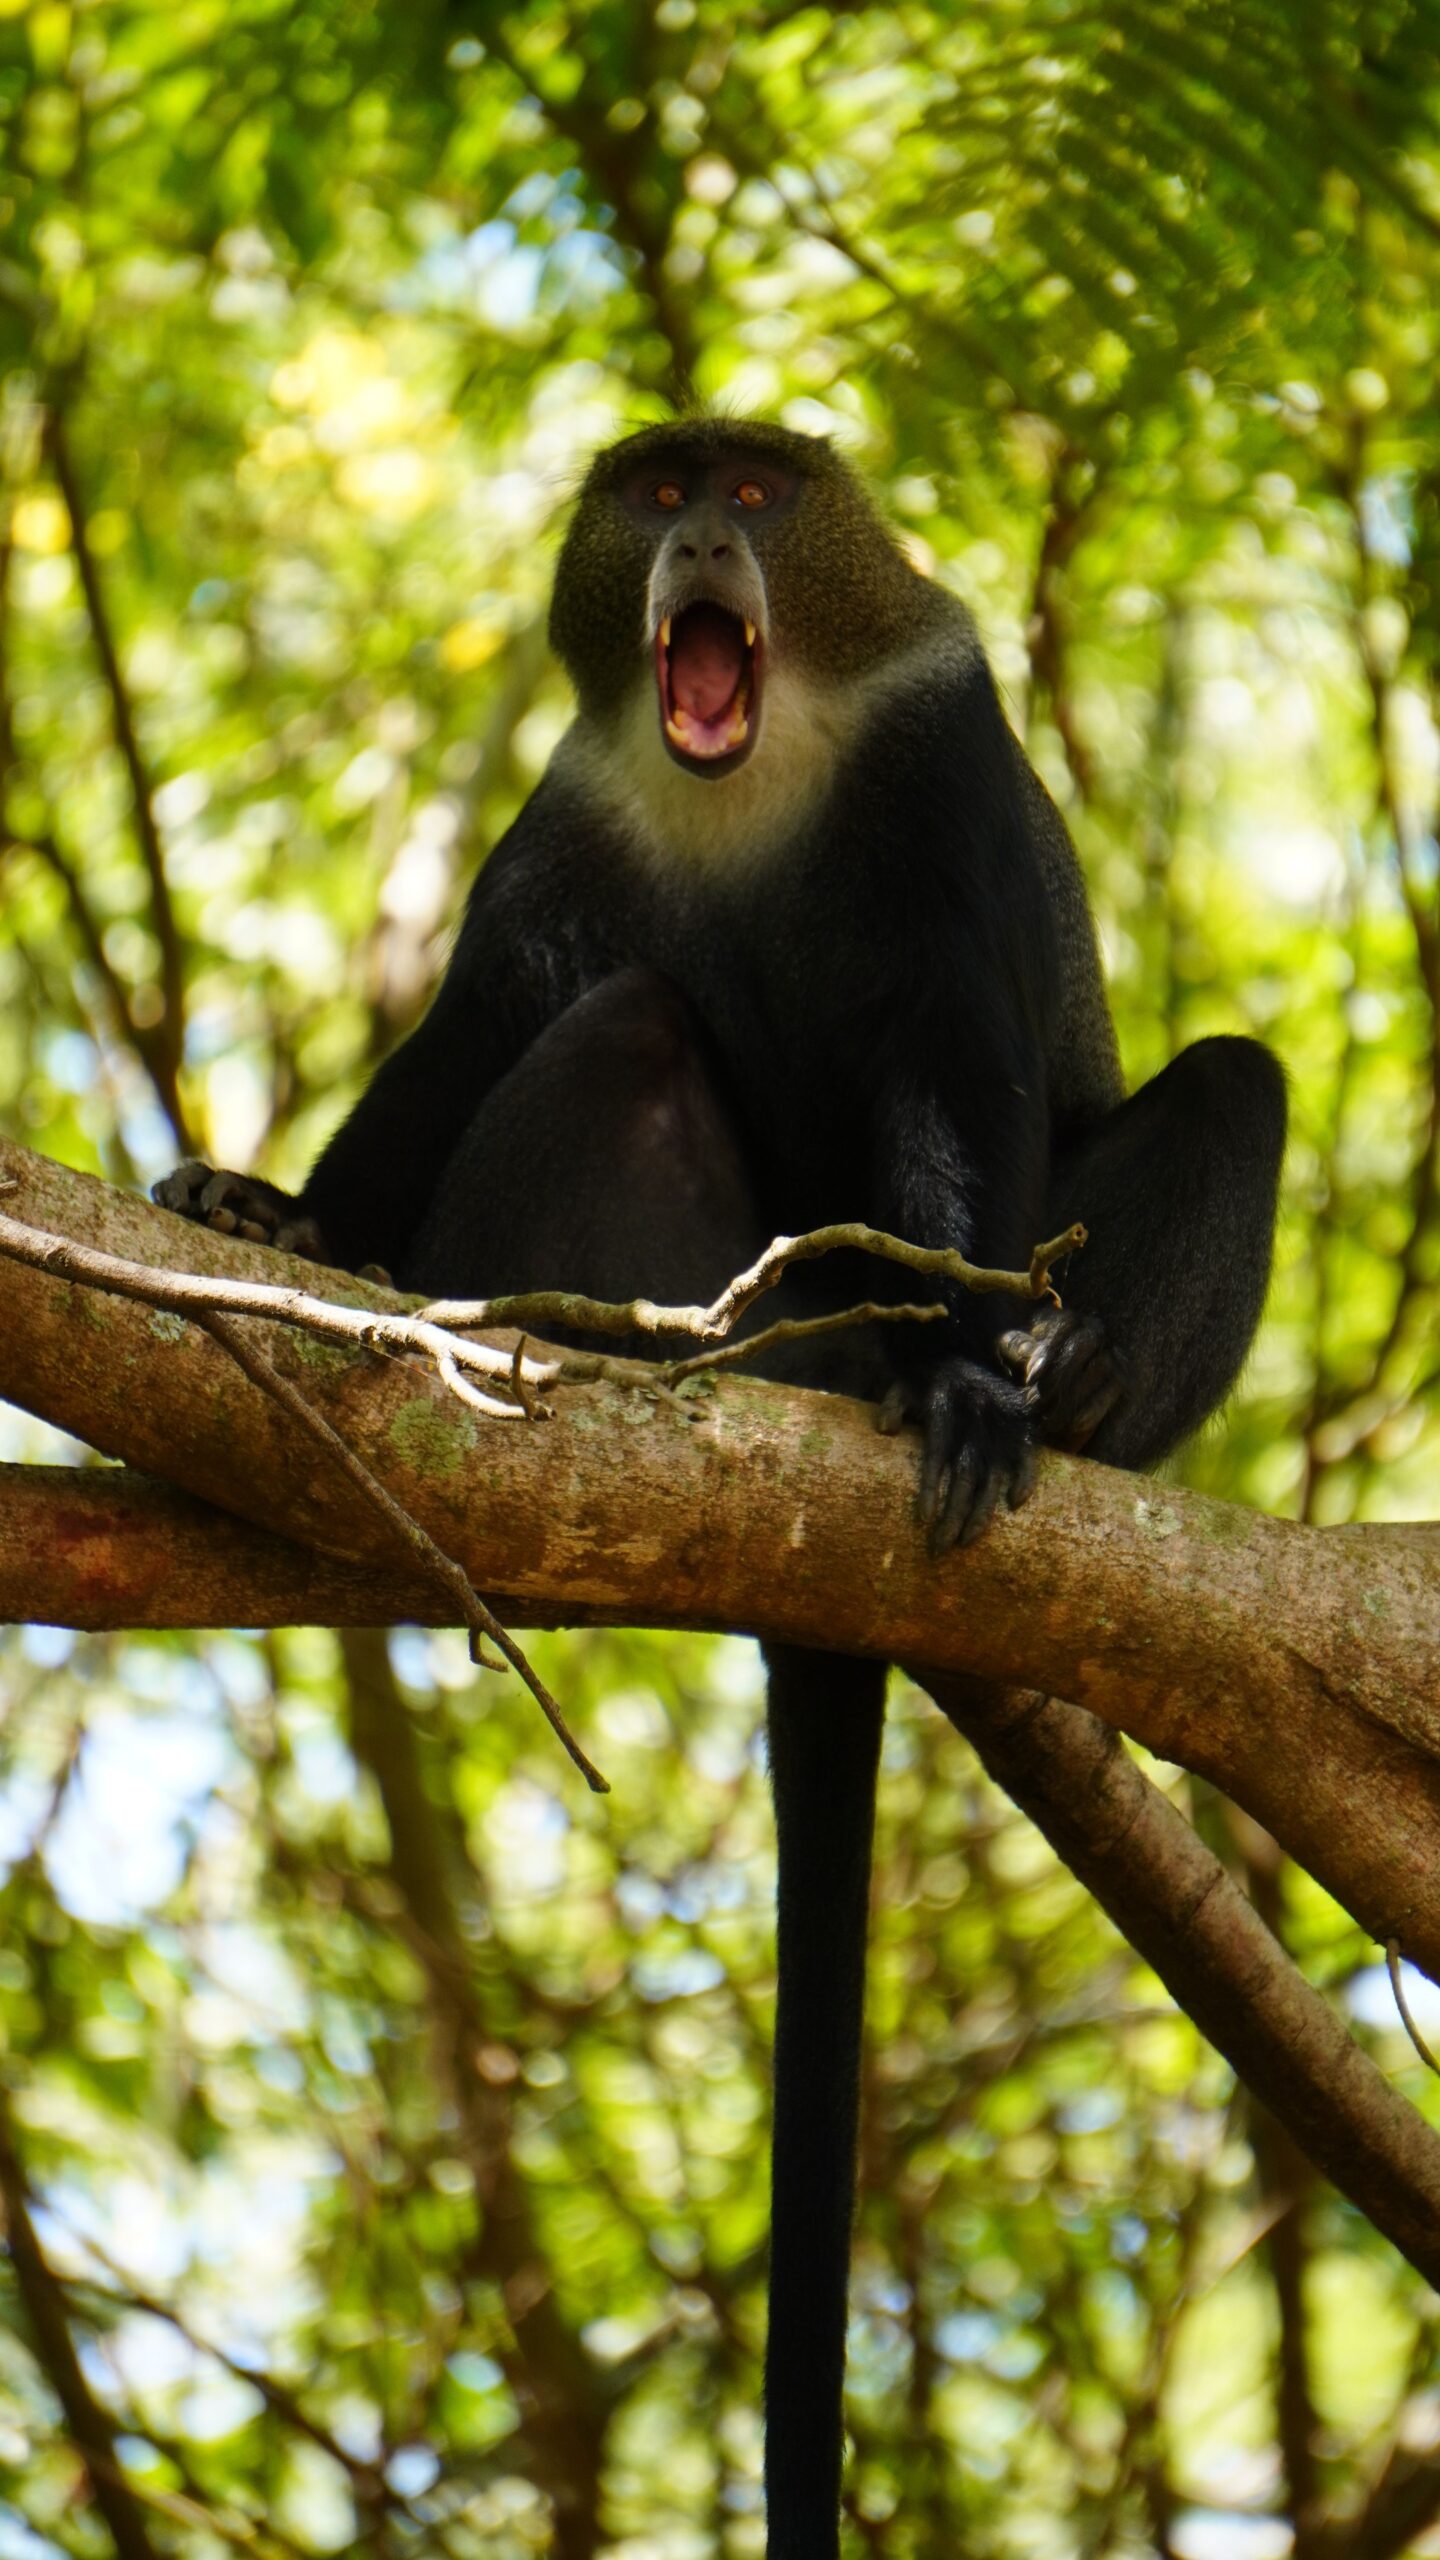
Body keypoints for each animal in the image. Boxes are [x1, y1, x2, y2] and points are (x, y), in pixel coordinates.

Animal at [155, 419, 1286, 2556]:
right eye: (655, 488)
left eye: (759, 493)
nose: (698, 545)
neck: (754, 778)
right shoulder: (576, 822)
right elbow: (489, 1024)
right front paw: (282, 1218)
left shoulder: (937, 776)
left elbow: (956, 1072)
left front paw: (982, 1378)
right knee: (625, 1026)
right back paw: (542, 1339)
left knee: (1239, 1086)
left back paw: (1055, 1385)